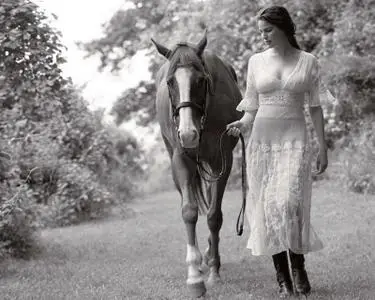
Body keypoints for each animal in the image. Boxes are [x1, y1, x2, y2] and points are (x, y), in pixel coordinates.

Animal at [151, 30, 245, 298]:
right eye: (170, 82)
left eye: (201, 80)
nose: (188, 134)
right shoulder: (181, 160)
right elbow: (189, 212)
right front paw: (194, 277)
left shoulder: (223, 159)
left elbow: (214, 215)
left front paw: (213, 269)